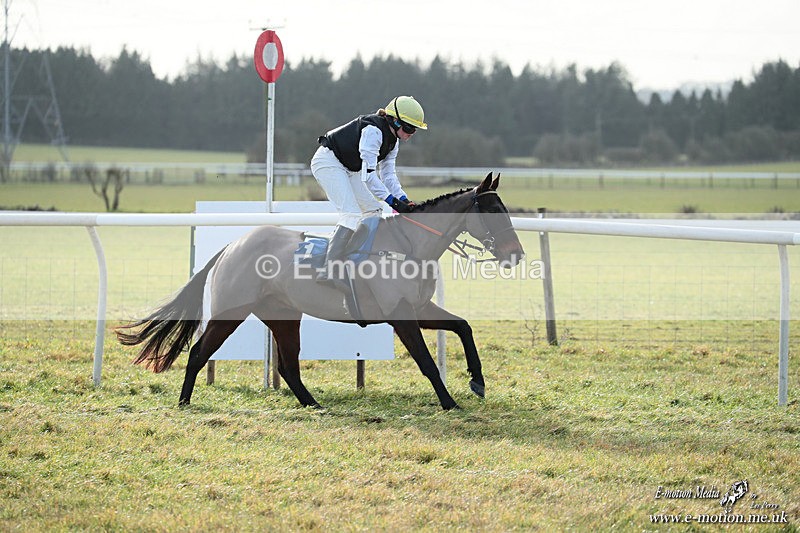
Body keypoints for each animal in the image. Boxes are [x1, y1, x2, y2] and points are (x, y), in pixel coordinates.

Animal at [115, 172, 525, 410]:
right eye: (493, 211)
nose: (516, 254)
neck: (407, 245)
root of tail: (231, 246)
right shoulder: (400, 316)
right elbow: (426, 362)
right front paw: (450, 402)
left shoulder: (420, 309)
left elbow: (464, 327)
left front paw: (477, 381)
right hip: (230, 312)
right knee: (199, 352)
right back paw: (184, 402)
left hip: (283, 316)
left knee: (288, 366)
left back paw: (312, 404)